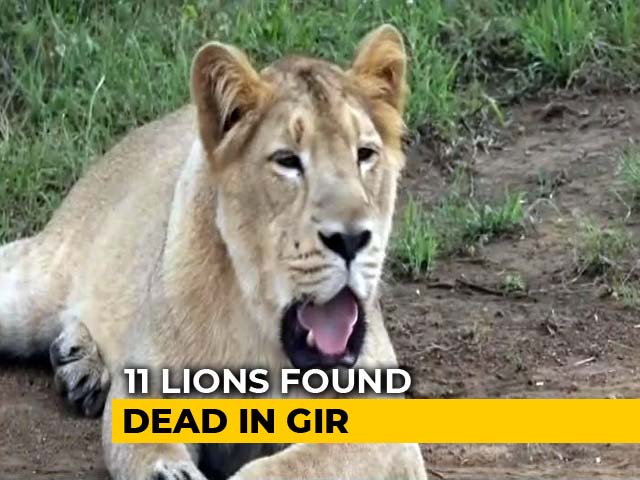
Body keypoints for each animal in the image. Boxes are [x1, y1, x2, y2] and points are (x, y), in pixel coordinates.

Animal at [0, 24, 427, 480]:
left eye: (365, 154)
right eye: (287, 161)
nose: (351, 239)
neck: (263, 334)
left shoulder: (384, 426)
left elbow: (289, 467)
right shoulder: (148, 386)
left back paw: (78, 361)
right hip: (35, 284)